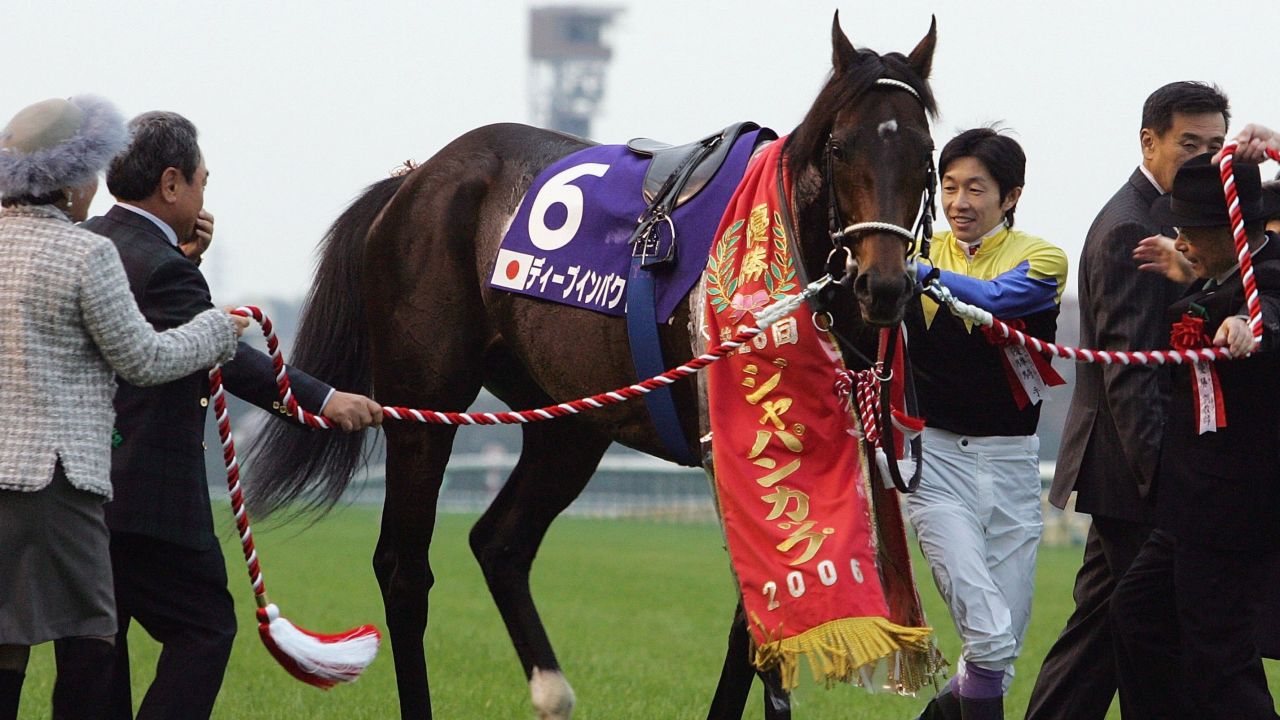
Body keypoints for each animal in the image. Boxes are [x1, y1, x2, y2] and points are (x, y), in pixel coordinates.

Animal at [244, 12, 936, 717]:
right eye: (841, 147)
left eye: (925, 153)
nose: (883, 286)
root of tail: (413, 180)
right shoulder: (737, 450)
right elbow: (761, 622)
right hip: (424, 407)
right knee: (404, 569)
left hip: (571, 420)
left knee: (500, 542)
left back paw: (551, 689)